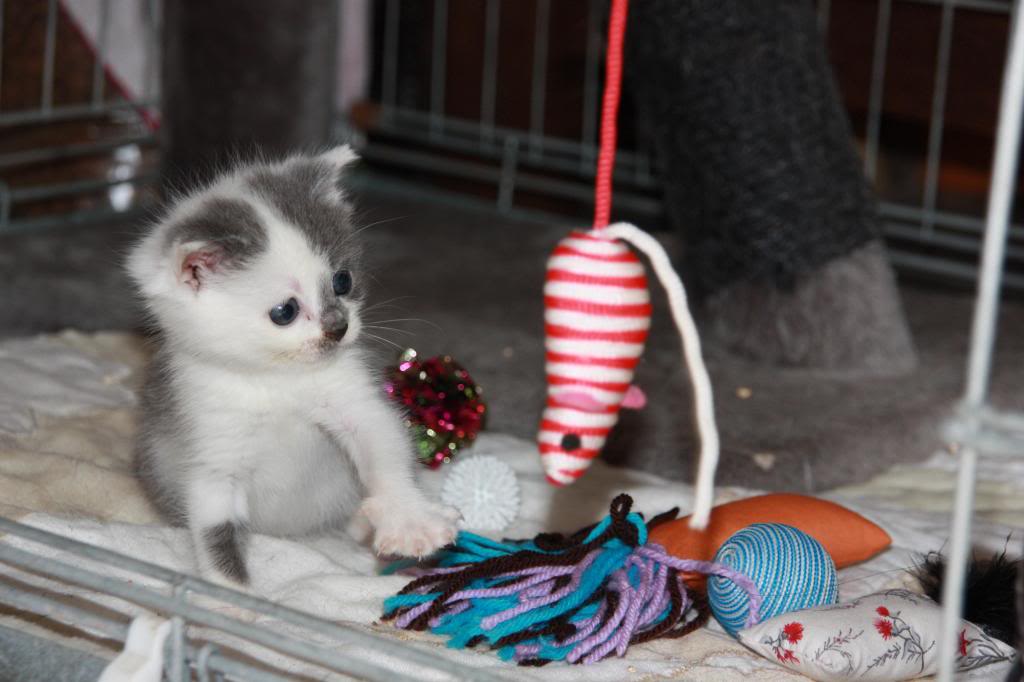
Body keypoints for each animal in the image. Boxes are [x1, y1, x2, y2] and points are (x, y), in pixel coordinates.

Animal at [126, 146, 456, 581]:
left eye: (342, 281)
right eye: (285, 312)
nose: (339, 327)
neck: (273, 378)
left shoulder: (352, 396)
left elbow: (380, 439)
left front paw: (407, 518)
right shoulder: (211, 443)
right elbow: (216, 531)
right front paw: (229, 595)